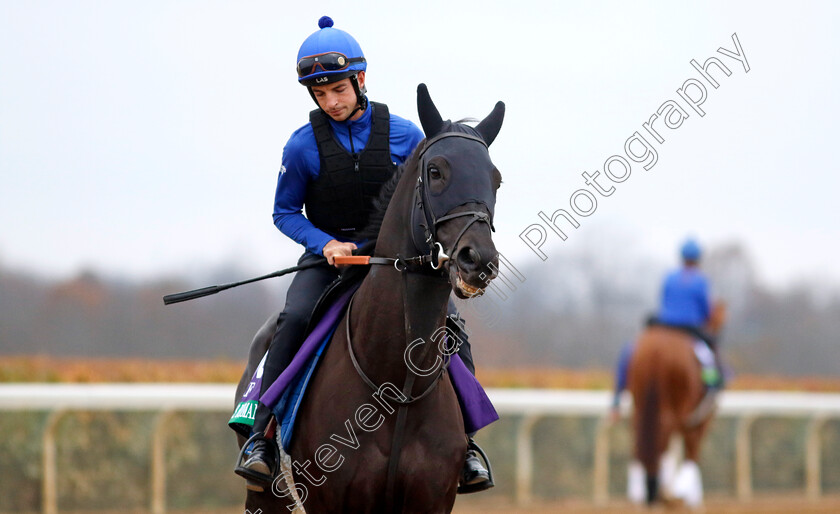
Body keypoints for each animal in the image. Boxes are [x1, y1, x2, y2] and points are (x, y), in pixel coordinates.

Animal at [235, 82, 506, 510]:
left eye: (495, 179)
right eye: (436, 171)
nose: (477, 258)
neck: (396, 388)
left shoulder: (432, 500)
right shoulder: (330, 499)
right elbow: (284, 209)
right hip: (264, 496)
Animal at [628, 300, 724, 504]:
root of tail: (657, 350)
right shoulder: (702, 416)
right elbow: (692, 450)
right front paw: (686, 494)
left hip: (641, 403)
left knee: (641, 438)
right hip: (675, 406)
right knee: (664, 435)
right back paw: (659, 490)